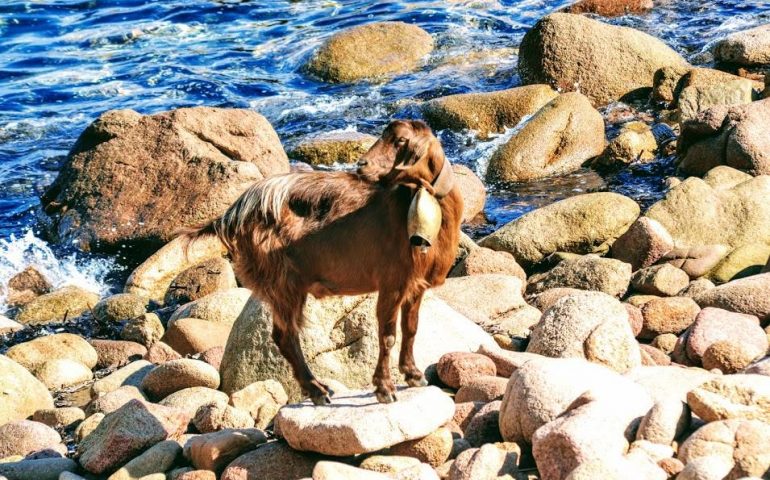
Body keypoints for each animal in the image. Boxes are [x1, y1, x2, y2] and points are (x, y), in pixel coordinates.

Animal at [183, 120, 462, 404]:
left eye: (401, 140)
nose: (362, 165)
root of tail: (231, 216)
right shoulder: (391, 281)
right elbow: (387, 336)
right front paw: (385, 390)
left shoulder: (415, 285)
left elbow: (411, 328)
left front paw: (414, 375)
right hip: (283, 282)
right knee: (285, 336)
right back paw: (317, 390)